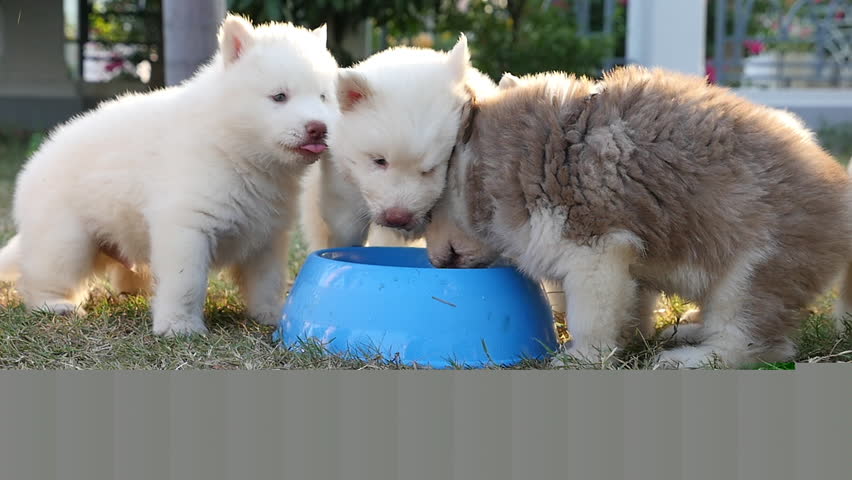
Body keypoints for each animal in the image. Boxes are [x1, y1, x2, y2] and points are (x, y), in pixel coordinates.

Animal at [0, 15, 338, 338]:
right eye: (279, 96)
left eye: (324, 97)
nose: (319, 128)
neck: (234, 149)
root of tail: (32, 165)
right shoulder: (187, 226)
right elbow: (186, 282)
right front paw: (180, 326)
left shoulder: (267, 235)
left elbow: (267, 281)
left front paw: (271, 314)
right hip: (66, 238)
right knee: (44, 275)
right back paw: (55, 304)